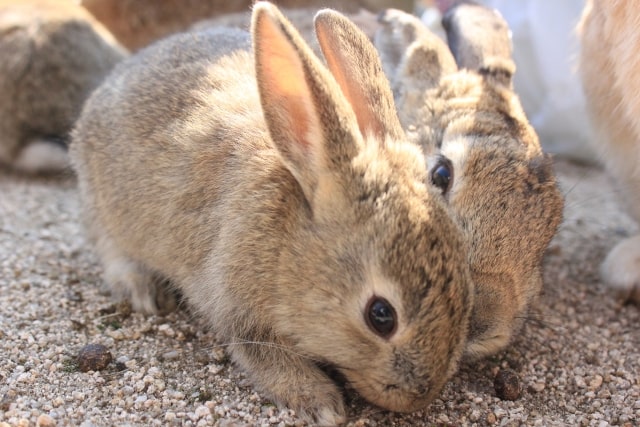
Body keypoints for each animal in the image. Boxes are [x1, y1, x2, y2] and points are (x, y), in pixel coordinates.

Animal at [71, 1, 476, 424]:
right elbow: (268, 359)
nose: (419, 396)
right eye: (381, 316)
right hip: (100, 204)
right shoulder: (239, 308)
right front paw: (322, 404)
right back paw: (143, 290)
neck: (290, 243)